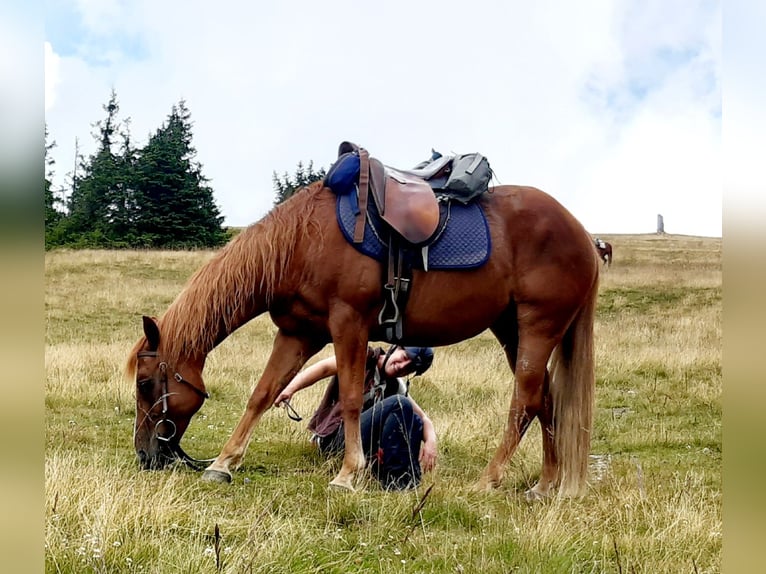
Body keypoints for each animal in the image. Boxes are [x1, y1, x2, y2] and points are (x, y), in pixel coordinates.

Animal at [126, 180, 600, 498]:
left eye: (145, 383)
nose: (146, 457)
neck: (302, 240)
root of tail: (583, 235)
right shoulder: (299, 332)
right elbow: (264, 393)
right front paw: (223, 464)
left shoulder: (348, 325)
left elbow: (353, 398)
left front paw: (346, 475)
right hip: (511, 329)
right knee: (546, 401)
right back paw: (545, 485)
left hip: (538, 325)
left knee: (525, 401)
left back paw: (489, 480)